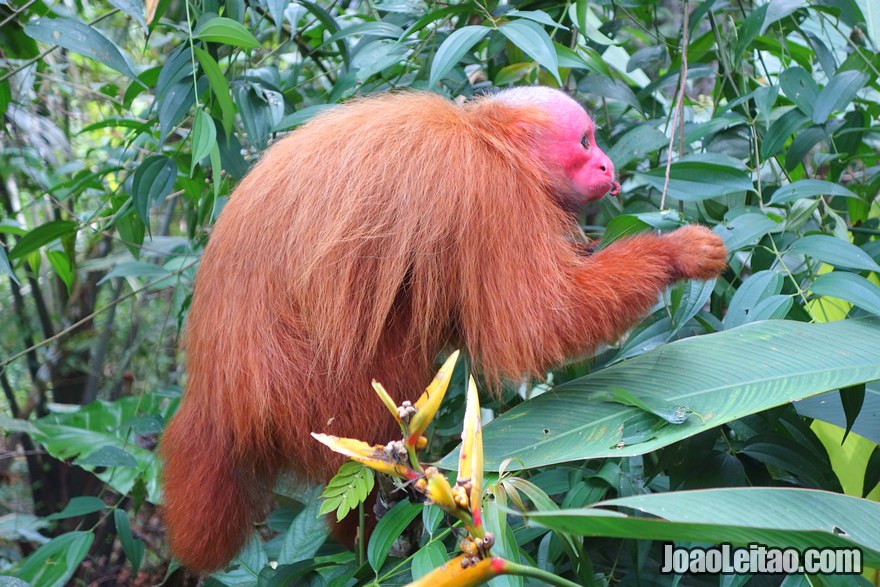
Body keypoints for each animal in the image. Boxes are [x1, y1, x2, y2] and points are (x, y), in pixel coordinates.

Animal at [160, 85, 728, 572]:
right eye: (585, 141)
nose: (607, 163)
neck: (487, 139)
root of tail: (212, 393)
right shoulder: (488, 195)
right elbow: (539, 320)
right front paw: (677, 253)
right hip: (300, 390)